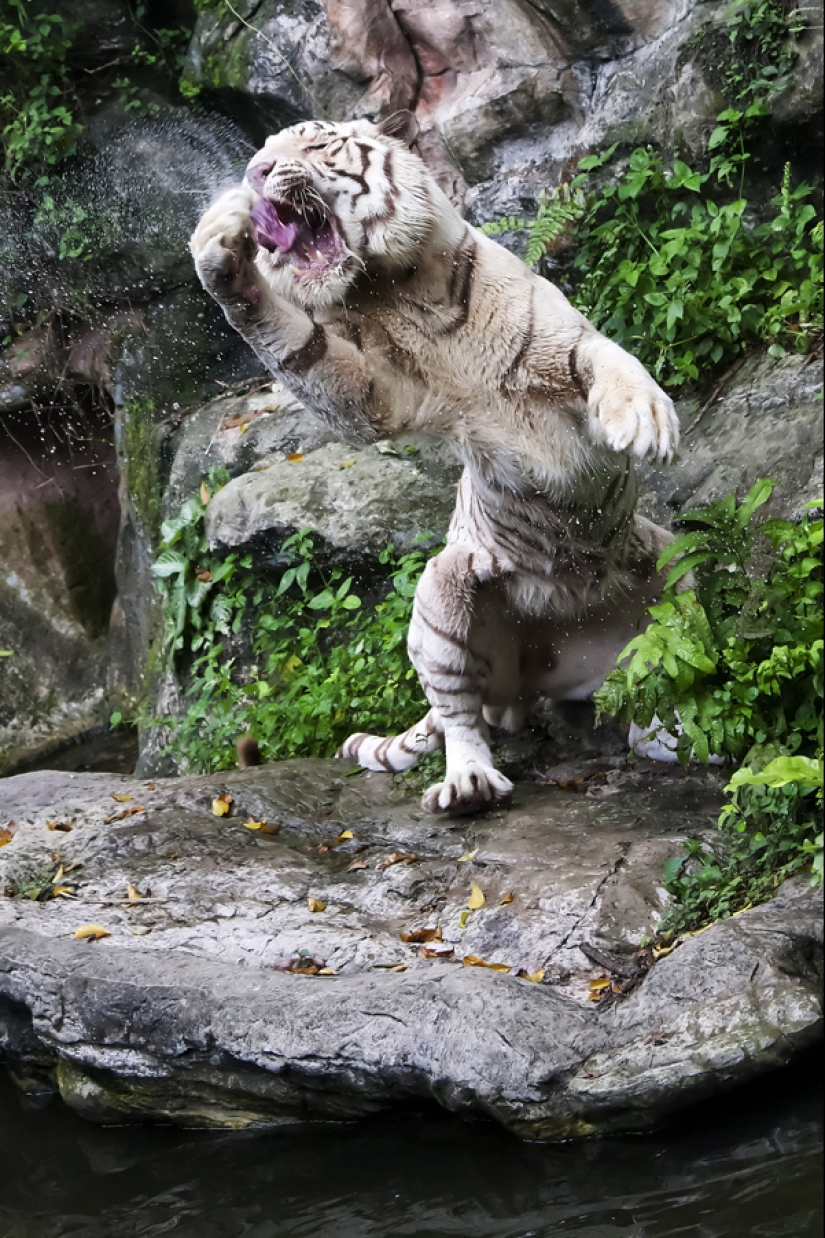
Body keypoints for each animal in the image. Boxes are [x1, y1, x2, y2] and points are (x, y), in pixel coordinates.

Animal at [190, 110, 680, 816]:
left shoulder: (560, 344)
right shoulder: (377, 394)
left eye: (314, 142)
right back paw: (469, 782)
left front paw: (642, 417)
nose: (255, 173)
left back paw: (670, 734)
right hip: (441, 598)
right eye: (258, 155)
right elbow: (303, 350)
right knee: (462, 714)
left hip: (675, 562)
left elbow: (608, 358)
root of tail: (548, 669)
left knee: (667, 660)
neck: (390, 289)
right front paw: (219, 250)